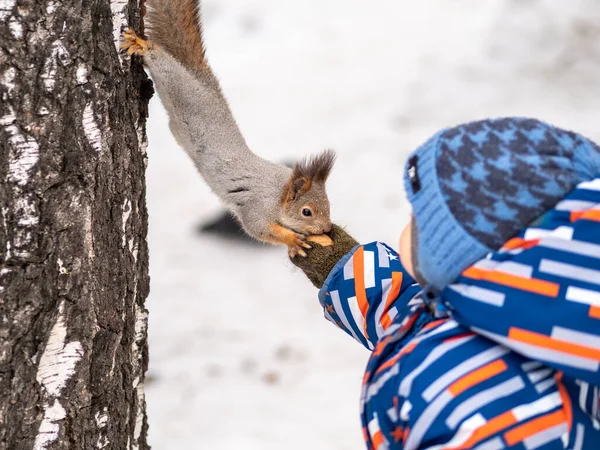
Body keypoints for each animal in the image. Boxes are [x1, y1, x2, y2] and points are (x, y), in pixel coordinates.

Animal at [120, 0, 338, 256]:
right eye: (307, 212)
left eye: (328, 204)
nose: (327, 227)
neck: (279, 193)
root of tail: (203, 83)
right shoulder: (257, 207)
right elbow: (259, 229)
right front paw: (292, 240)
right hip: (182, 89)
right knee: (163, 63)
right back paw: (142, 45)